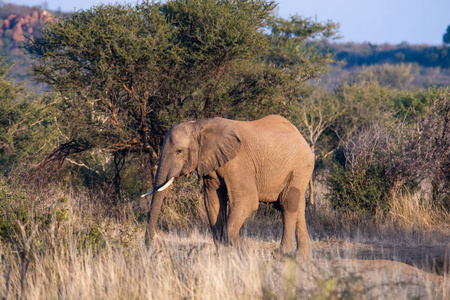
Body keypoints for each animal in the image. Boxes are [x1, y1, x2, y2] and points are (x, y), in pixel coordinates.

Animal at [142, 115, 314, 258]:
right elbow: (213, 202)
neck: (199, 126)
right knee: (298, 206)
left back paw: (281, 254)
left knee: (287, 202)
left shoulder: (238, 162)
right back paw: (302, 257)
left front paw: (245, 249)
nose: (148, 247)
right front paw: (224, 256)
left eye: (179, 151)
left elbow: (247, 200)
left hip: (300, 166)